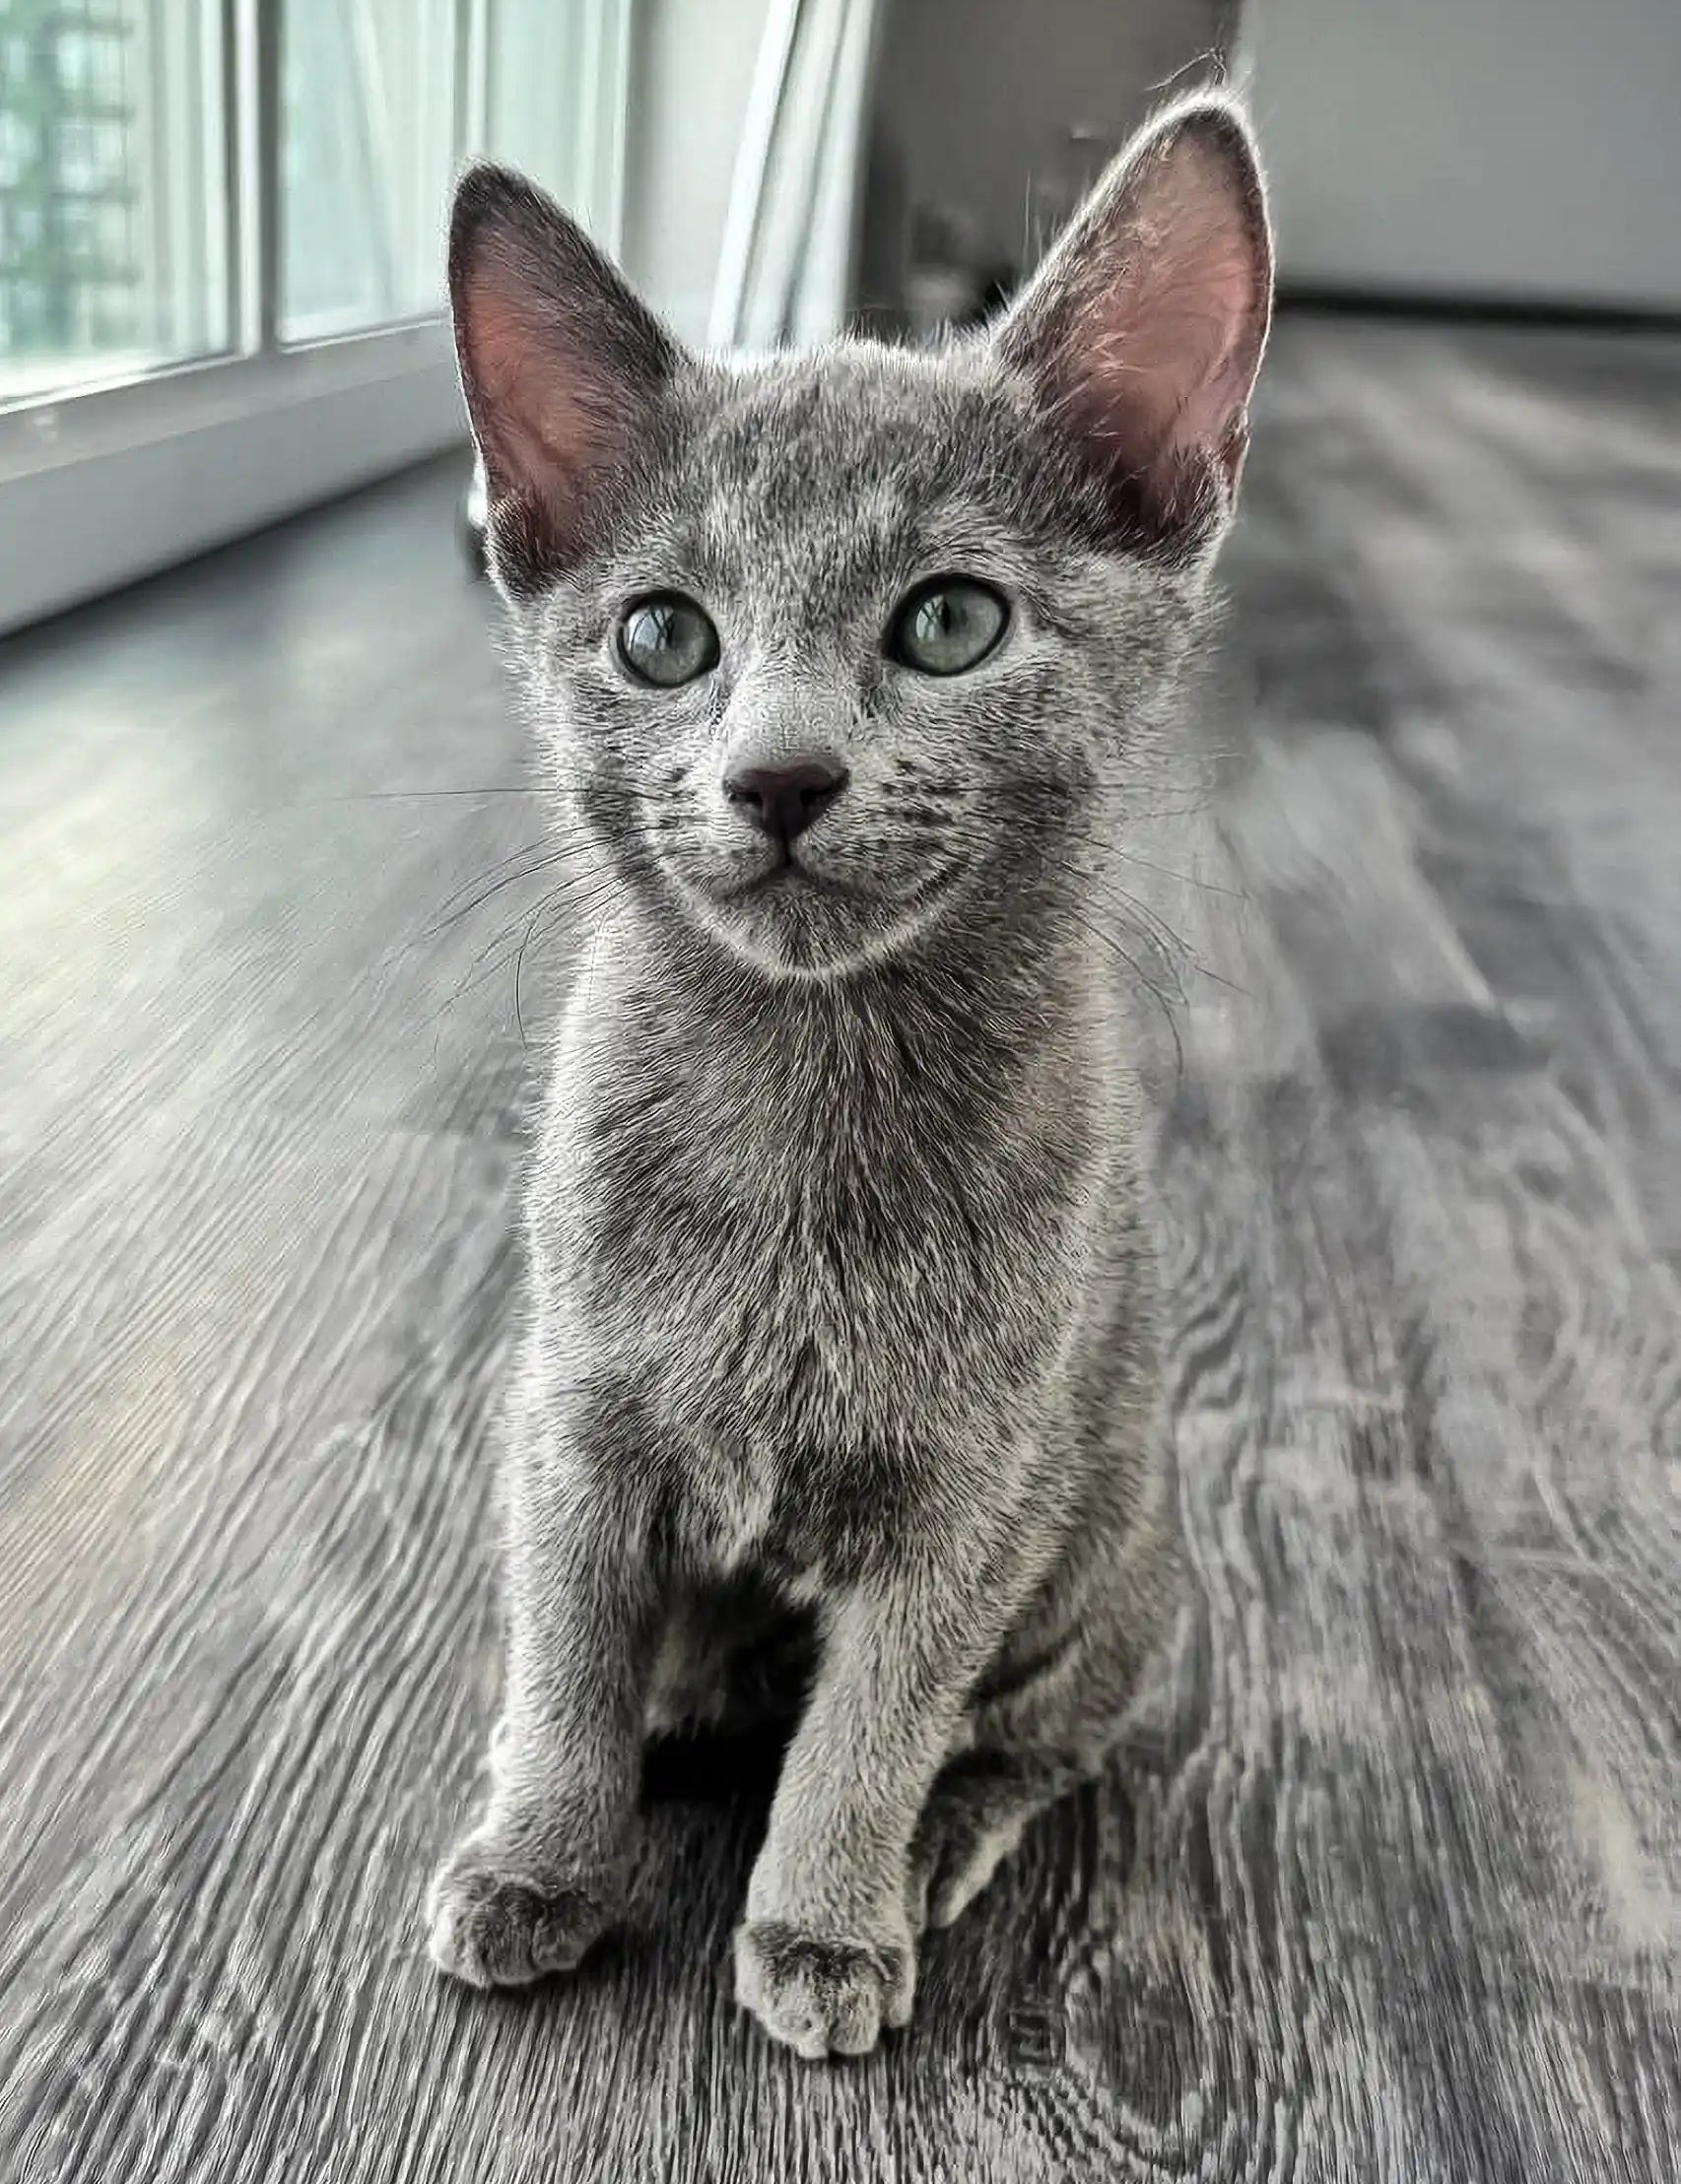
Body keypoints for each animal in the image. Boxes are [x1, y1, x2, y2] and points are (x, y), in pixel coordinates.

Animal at [426, 89, 1266, 2061]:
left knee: (1038, 1737)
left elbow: (875, 1721)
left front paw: (819, 1917)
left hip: (1107, 1553)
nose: (780, 775)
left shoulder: (974, 1488)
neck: (804, 1096)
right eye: (663, 636)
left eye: (950, 622)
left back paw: (935, 1841)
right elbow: (563, 1649)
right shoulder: (573, 1415)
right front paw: (539, 1850)